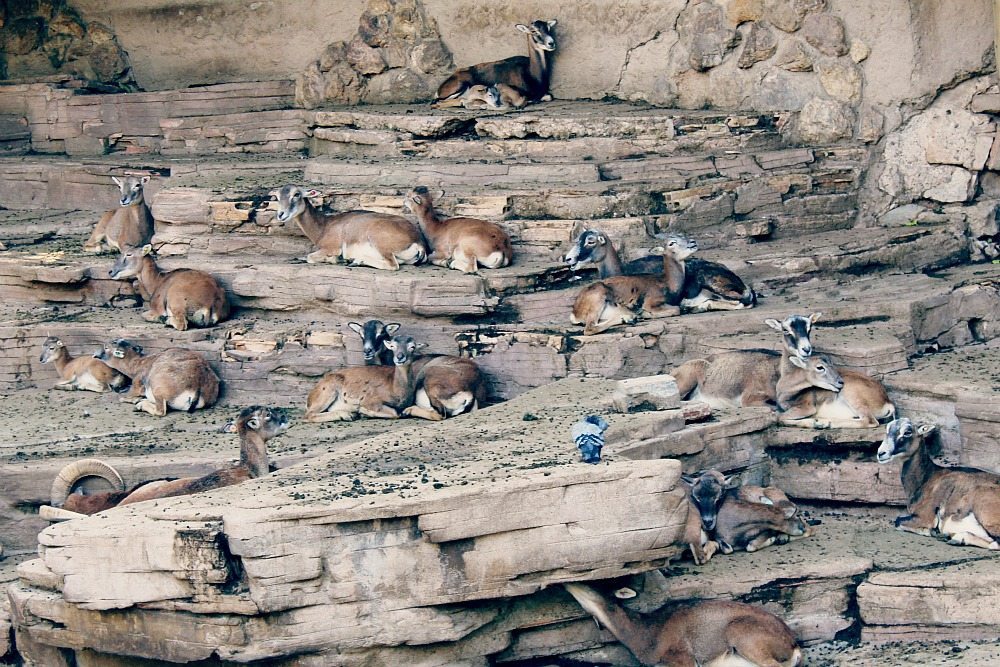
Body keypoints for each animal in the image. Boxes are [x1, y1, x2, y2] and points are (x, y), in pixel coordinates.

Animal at [275, 185, 425, 270]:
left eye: (296, 194)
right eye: (277, 197)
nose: (280, 214)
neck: (324, 226)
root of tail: (418, 242)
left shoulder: (331, 248)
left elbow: (310, 257)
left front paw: (336, 259)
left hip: (380, 243)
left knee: (393, 265)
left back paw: (354, 261)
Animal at [877, 418, 999, 550]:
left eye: (907, 432)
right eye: (887, 430)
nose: (881, 453)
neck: (928, 478)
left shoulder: (924, 517)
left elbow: (898, 521)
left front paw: (932, 531)